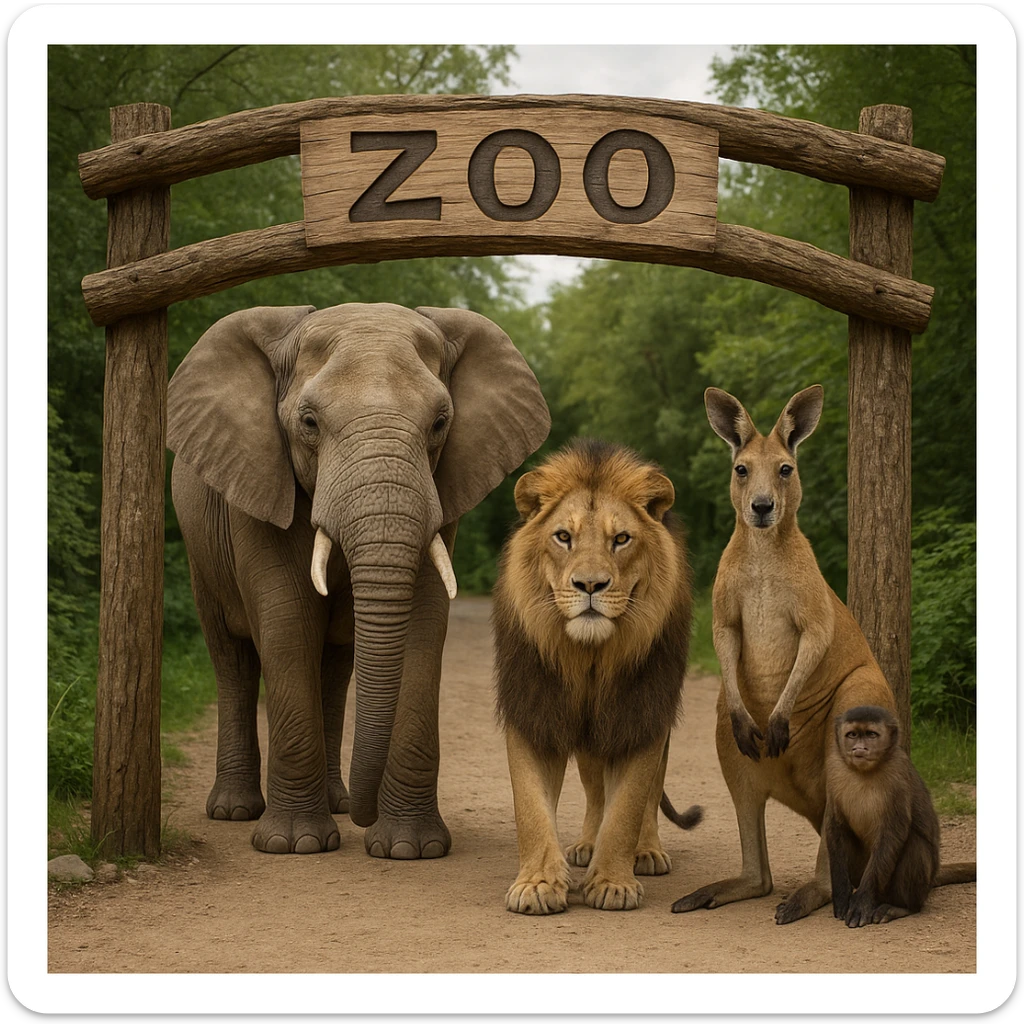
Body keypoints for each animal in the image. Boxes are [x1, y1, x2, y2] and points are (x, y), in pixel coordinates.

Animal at [167, 302, 550, 857]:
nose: (366, 818)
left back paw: (339, 803)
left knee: (334, 668)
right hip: (200, 552)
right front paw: (295, 845)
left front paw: (409, 848)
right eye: (308, 422)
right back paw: (235, 811)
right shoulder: (260, 482)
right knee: (232, 659)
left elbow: (423, 623)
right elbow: (287, 623)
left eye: (441, 423)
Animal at [492, 438, 701, 914]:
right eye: (563, 537)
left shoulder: (642, 714)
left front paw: (613, 883)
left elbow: (628, 806)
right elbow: (531, 807)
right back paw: (587, 845)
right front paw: (537, 884)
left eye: (621, 539)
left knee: (646, 794)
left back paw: (647, 852)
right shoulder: (533, 708)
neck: (588, 657)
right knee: (593, 790)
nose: (590, 585)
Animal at [824, 705, 976, 927]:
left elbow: (892, 835)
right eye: (852, 735)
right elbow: (835, 828)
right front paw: (842, 896)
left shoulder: (898, 775)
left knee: (914, 844)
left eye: (871, 735)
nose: (859, 749)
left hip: (915, 887)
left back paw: (902, 907)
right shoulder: (833, 770)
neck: (865, 772)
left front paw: (862, 901)